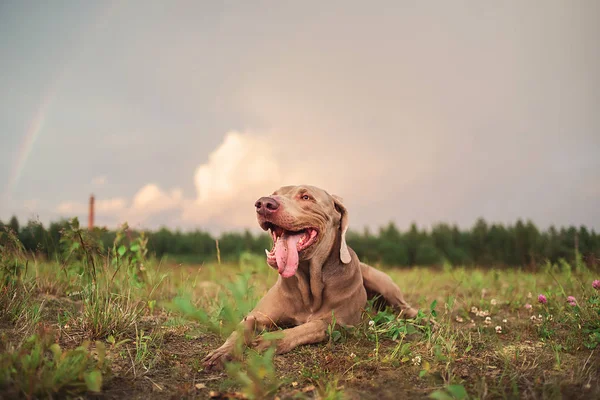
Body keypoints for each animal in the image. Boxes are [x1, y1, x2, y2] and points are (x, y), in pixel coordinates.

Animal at [202, 184, 418, 368]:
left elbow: (311, 326)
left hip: (380, 282)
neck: (308, 284)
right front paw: (222, 352)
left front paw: (269, 341)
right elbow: (242, 327)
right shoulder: (258, 315)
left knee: (406, 308)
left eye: (306, 197)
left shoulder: (341, 323)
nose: (264, 203)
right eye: (273, 193)